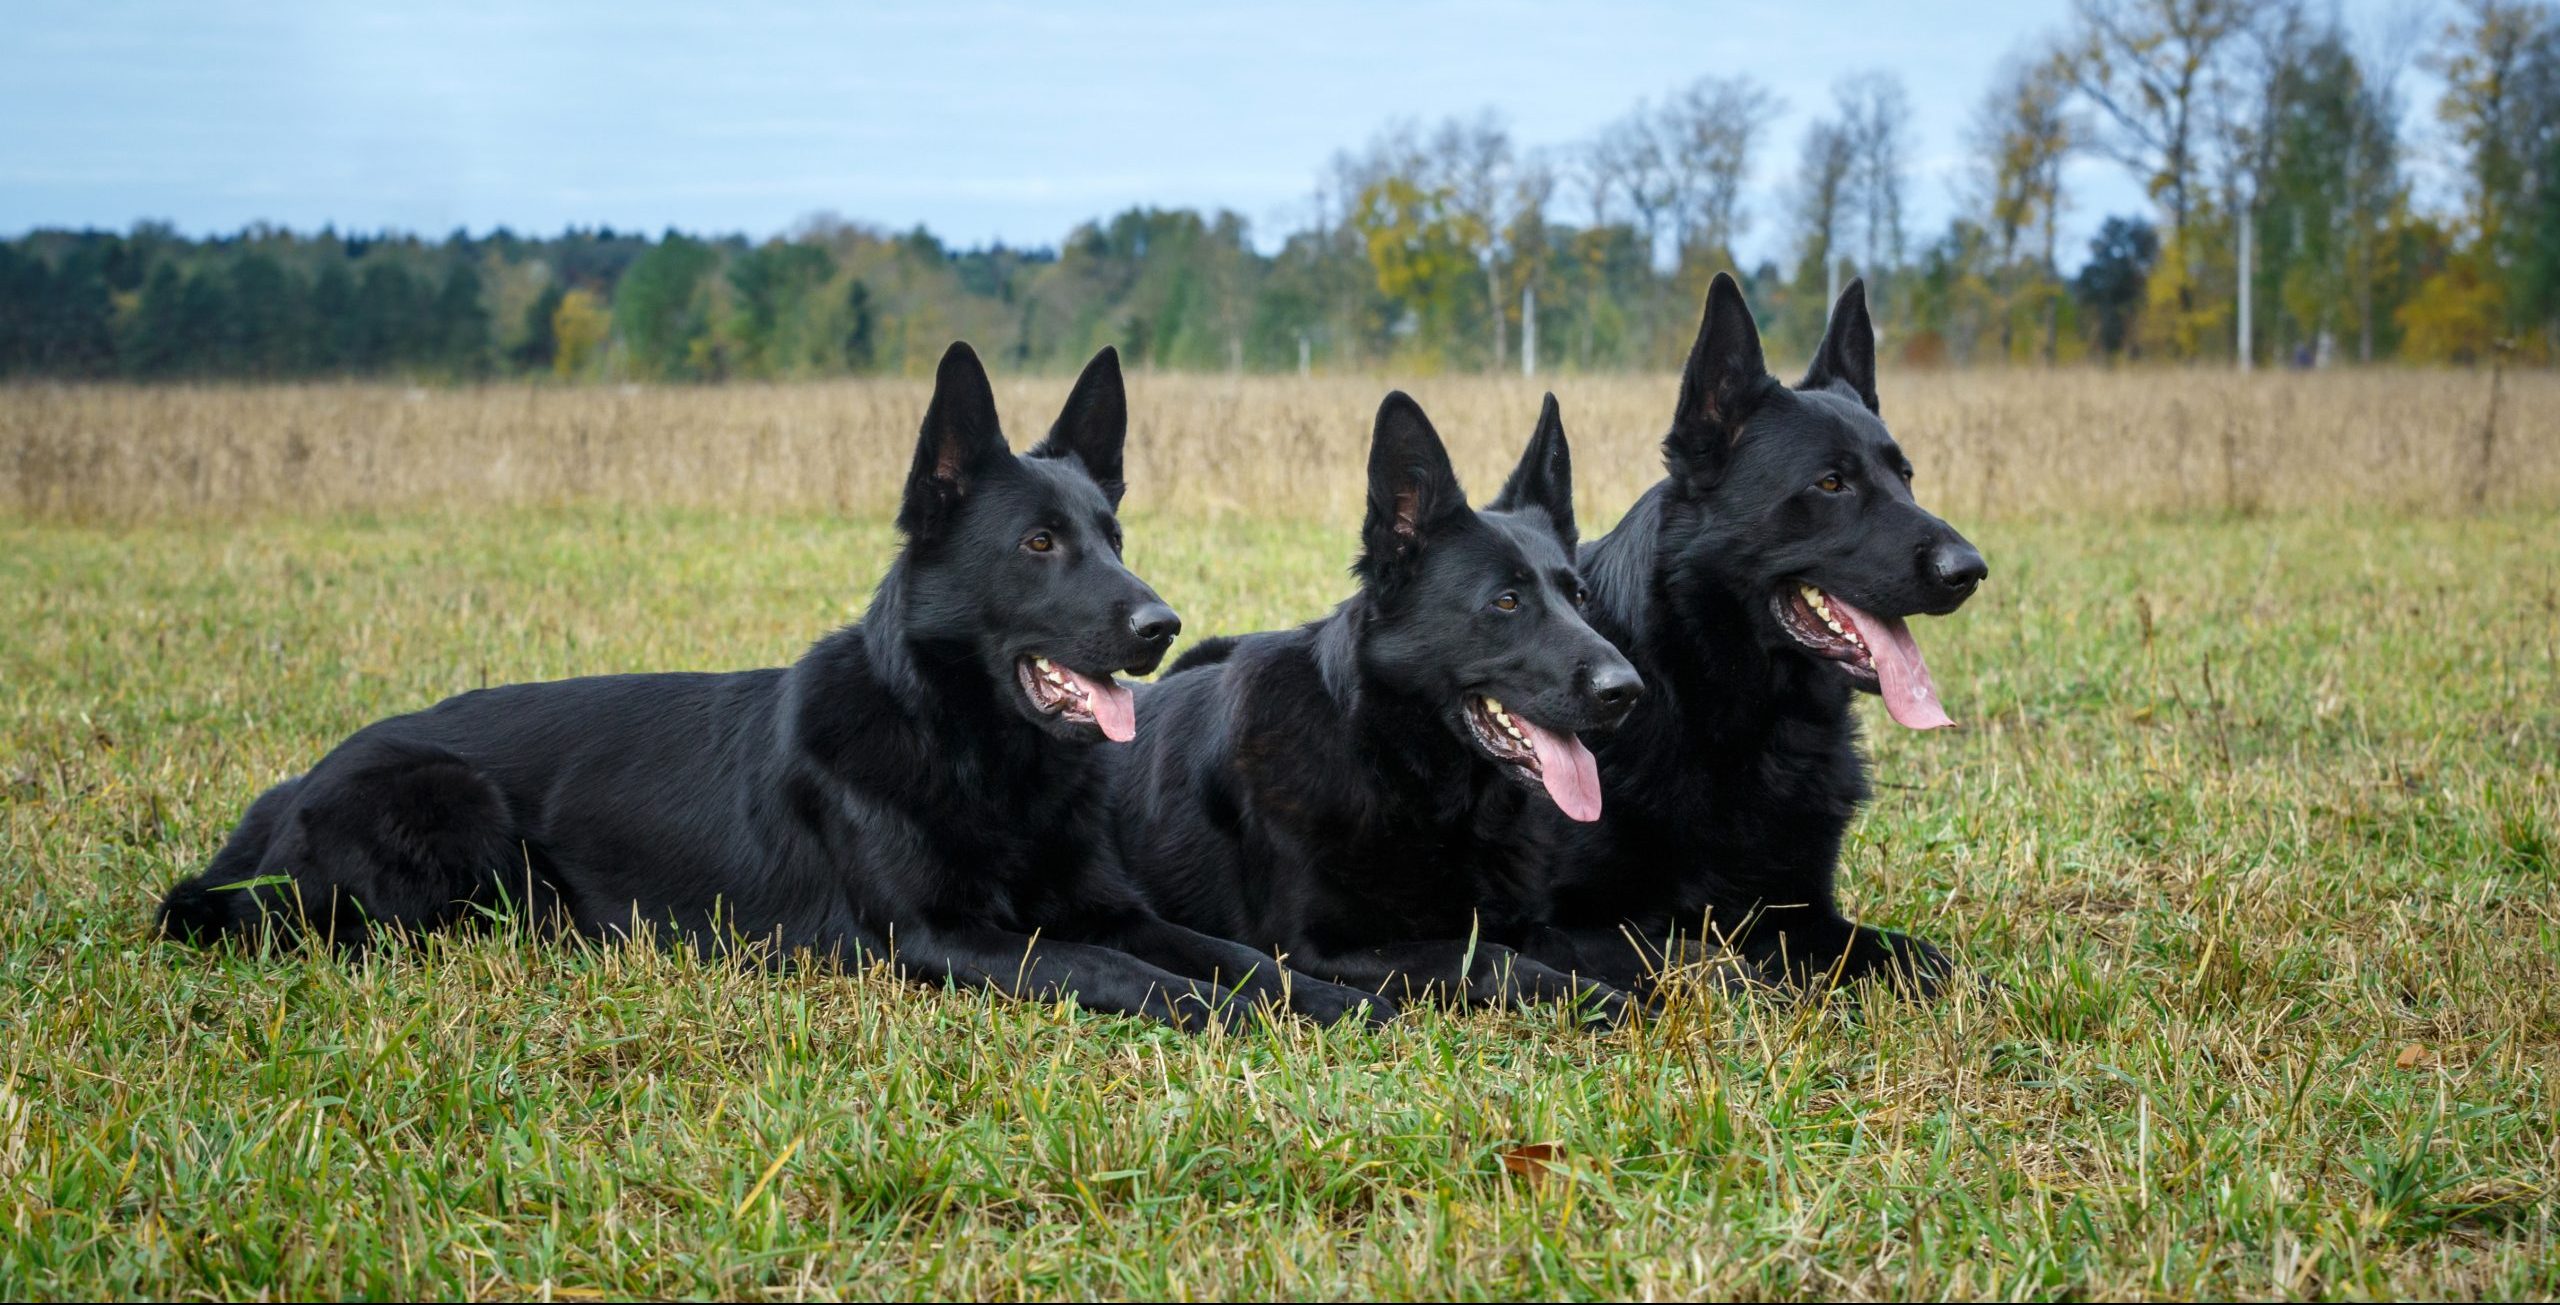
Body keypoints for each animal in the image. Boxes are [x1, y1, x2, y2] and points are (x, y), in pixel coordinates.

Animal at [157, 343, 1393, 1030]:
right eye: (1039, 544)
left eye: (1113, 534)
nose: (1161, 627)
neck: (975, 756)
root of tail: (288, 790)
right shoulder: (941, 938)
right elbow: (1127, 974)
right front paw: (1225, 1015)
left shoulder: (1111, 904)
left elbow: (1236, 954)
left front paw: (1344, 1000)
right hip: (454, 809)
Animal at [1108, 391, 1643, 1020]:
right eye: (1507, 602)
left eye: (1578, 597)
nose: (1628, 690)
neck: (1388, 764)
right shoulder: (1315, 953)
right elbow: (1491, 958)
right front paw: (1613, 1003)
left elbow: (1591, 943)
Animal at [1525, 275, 1987, 994]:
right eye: (1831, 482)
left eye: (1905, 477)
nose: (1969, 570)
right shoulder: (1556, 925)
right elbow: (1702, 957)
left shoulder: (1803, 911)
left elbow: (1917, 957)